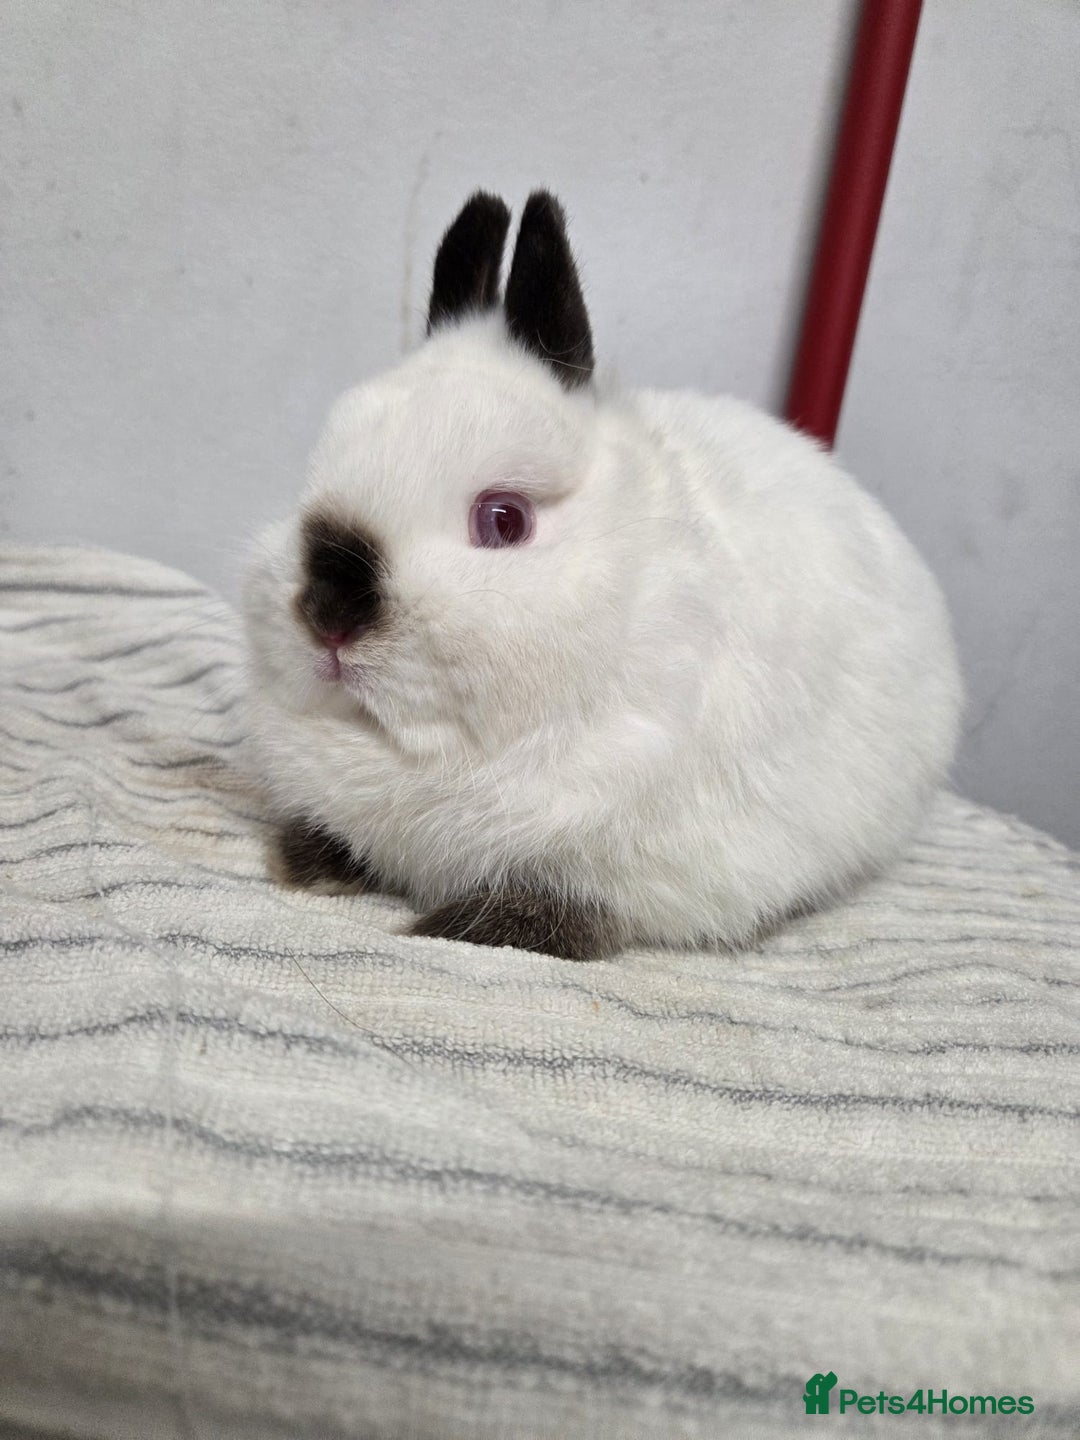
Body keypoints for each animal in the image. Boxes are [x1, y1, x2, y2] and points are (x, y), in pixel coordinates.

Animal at [240, 189, 962, 961]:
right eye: (314, 472)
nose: (328, 614)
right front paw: (306, 862)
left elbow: (566, 911)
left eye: (505, 520)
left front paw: (456, 928)